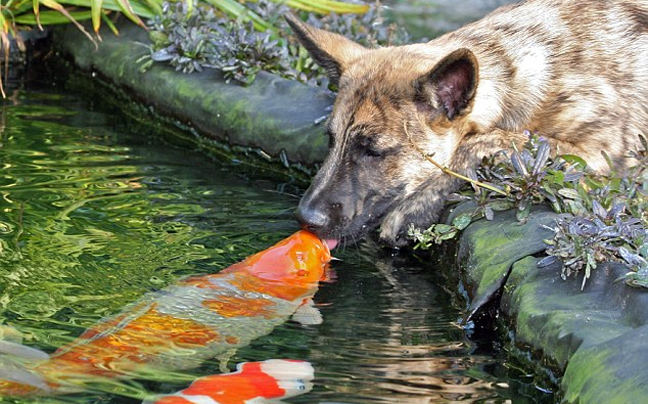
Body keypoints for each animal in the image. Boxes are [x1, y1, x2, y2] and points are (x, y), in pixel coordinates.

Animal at [288, 0, 648, 246]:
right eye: (331, 140)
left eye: (373, 151)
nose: (305, 219)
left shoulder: (601, 155)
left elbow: (483, 142)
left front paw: (414, 209)